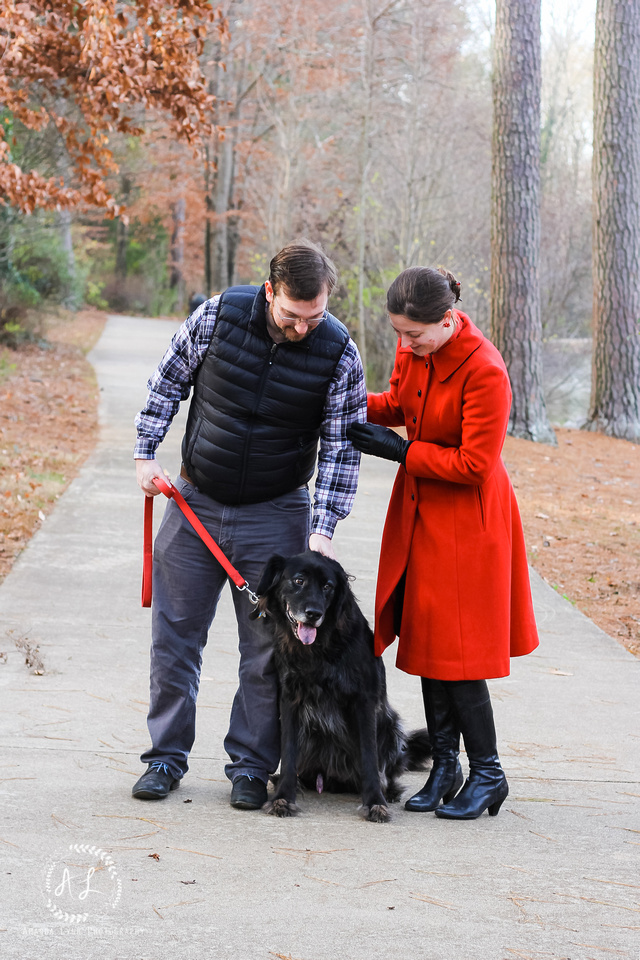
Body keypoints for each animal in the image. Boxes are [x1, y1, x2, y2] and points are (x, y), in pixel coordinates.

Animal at [250, 552, 430, 820]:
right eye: (299, 580)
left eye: (328, 587)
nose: (313, 613)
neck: (320, 648)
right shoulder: (290, 699)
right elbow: (288, 752)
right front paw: (283, 797)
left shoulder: (363, 700)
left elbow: (369, 757)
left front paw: (375, 802)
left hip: (390, 726)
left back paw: (388, 791)